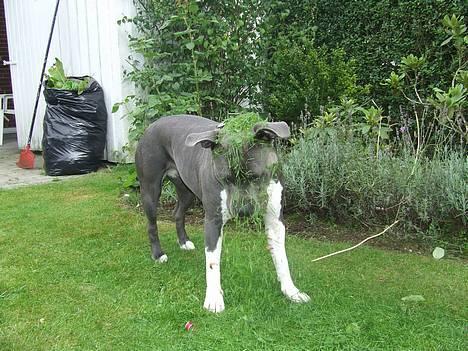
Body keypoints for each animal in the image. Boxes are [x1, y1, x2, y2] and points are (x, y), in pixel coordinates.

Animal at [136, 115, 310, 314]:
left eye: (256, 176)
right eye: (226, 178)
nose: (243, 212)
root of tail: (152, 124)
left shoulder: (275, 220)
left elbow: (282, 259)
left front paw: (292, 291)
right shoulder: (213, 220)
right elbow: (212, 263)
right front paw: (213, 299)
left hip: (187, 190)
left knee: (177, 213)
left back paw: (184, 242)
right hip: (150, 189)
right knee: (152, 224)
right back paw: (158, 254)